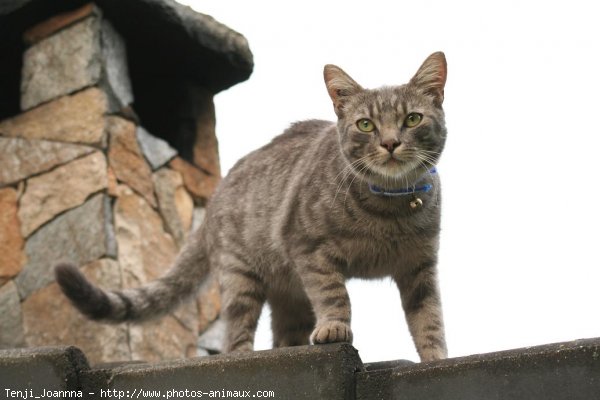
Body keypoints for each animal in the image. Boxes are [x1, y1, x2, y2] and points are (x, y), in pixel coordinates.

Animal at [56, 50, 448, 362]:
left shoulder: (420, 267)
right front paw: (335, 326)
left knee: (283, 336)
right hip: (240, 277)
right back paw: (243, 353)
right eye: (365, 125)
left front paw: (436, 357)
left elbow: (429, 321)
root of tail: (215, 196)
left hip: (289, 295)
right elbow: (334, 294)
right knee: (235, 336)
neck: (390, 208)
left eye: (412, 119)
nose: (390, 143)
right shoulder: (309, 250)